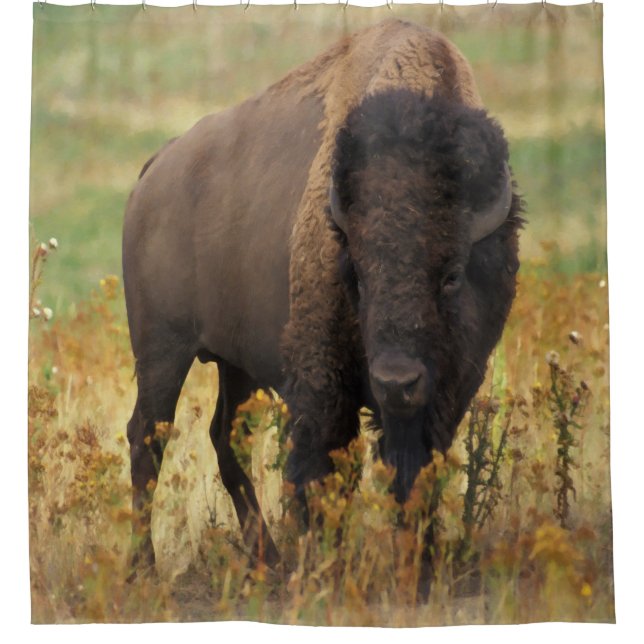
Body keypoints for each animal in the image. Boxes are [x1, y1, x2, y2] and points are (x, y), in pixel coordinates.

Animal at [123, 18, 522, 575]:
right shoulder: (321, 387)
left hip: (234, 365)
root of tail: (155, 170)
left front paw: (415, 569)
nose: (395, 382)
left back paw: (266, 560)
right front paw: (323, 568)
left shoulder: (445, 393)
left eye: (452, 275)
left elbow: (413, 477)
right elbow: (321, 475)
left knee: (226, 437)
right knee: (148, 438)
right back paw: (146, 569)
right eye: (357, 271)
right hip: (162, 353)